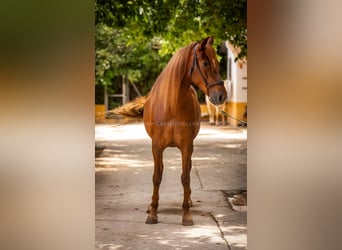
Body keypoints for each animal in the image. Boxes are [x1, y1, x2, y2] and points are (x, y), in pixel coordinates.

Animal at [144, 36, 227, 225]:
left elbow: (185, 177)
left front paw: (186, 214)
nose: (221, 96)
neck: (171, 105)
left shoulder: (187, 147)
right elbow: (156, 177)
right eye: (205, 63)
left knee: (187, 169)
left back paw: (188, 200)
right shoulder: (156, 147)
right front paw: (153, 213)